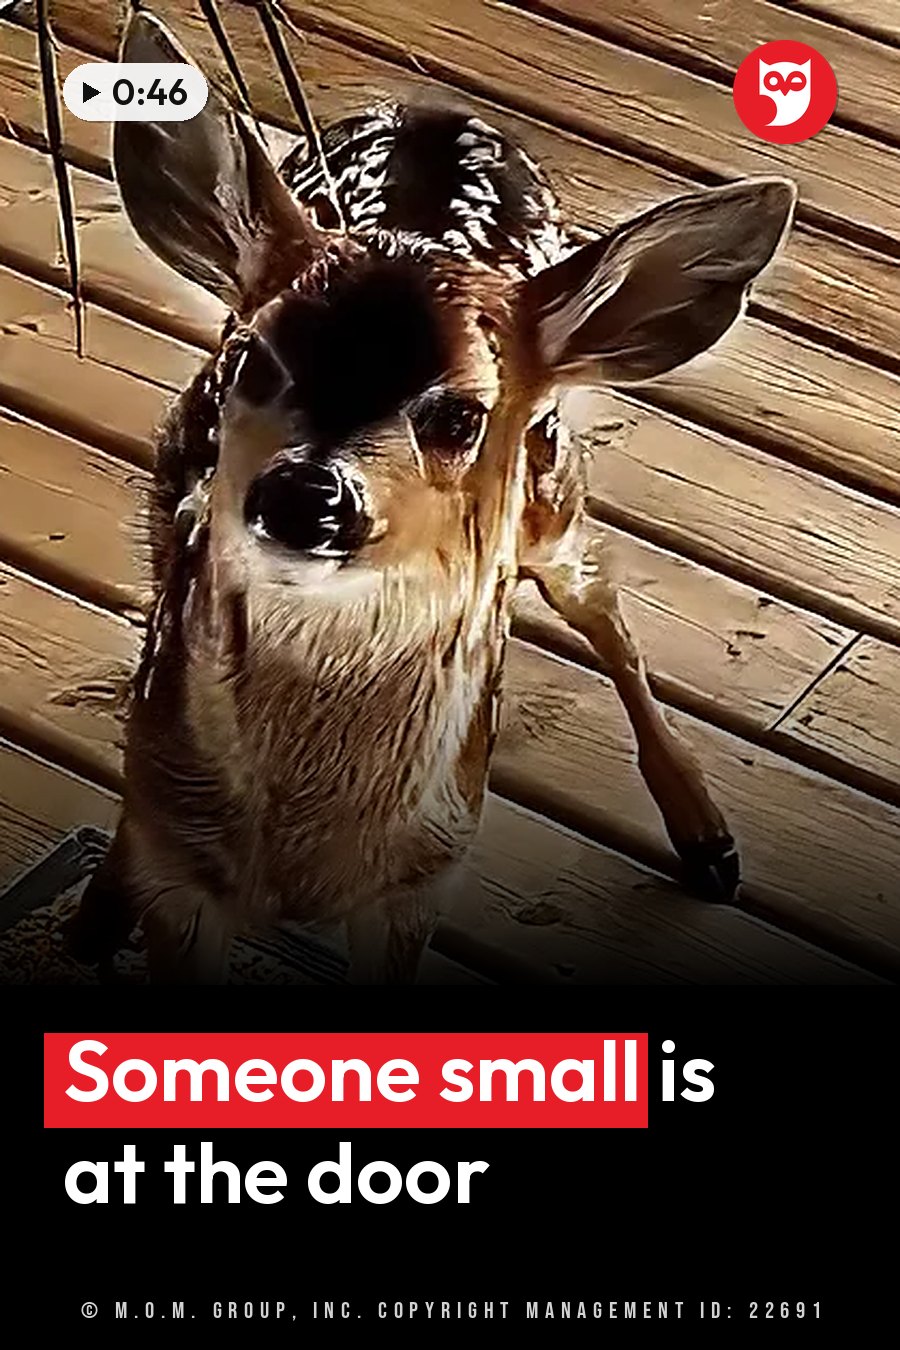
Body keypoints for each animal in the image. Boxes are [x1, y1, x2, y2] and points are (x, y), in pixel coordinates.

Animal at [69, 11, 796, 983]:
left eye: (460, 414)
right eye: (256, 359)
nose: (306, 490)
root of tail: (432, 112)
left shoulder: (423, 877)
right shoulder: (188, 883)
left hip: (550, 490)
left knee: (604, 607)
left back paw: (708, 839)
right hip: (170, 476)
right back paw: (99, 905)